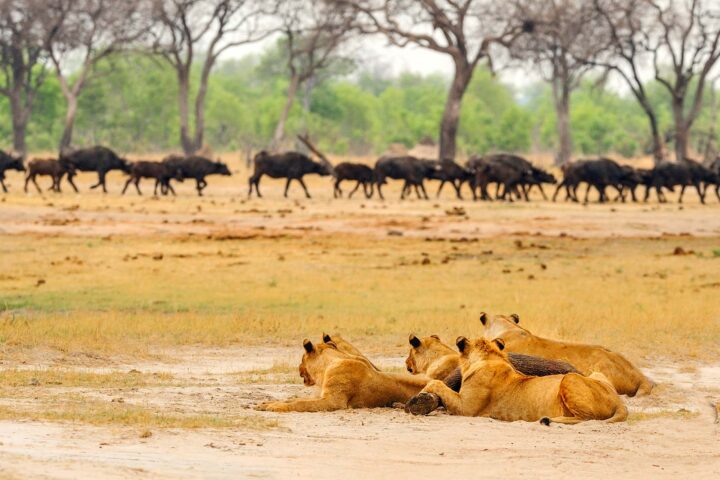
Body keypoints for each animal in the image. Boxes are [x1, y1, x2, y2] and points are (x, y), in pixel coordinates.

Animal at [258, 338, 430, 412]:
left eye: (301, 359)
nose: (298, 368)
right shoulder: (321, 395)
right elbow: (294, 399)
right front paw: (265, 404)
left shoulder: (333, 402)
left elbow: (300, 404)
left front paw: (275, 407)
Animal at [408, 336, 628, 426]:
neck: (491, 358)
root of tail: (619, 400)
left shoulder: (467, 408)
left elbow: (437, 383)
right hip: (596, 374)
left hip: (570, 378)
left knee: (587, 418)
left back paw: (548, 420)